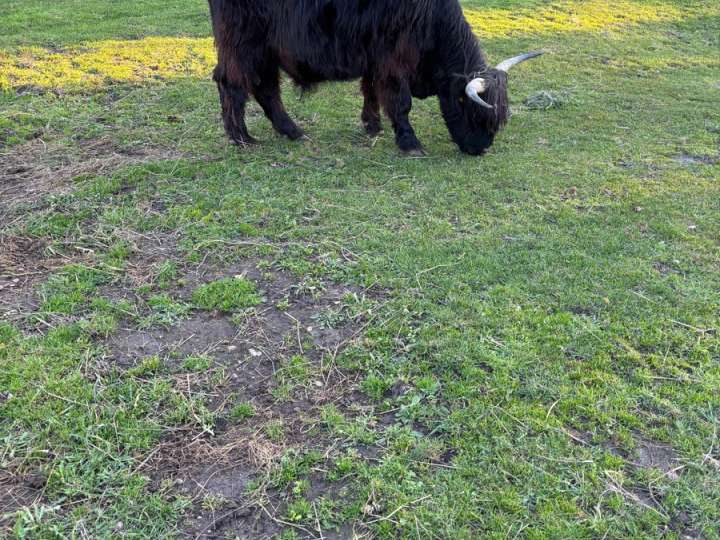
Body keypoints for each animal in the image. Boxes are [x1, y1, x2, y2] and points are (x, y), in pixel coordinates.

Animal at [207, 0, 542, 155]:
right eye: (471, 111)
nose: (481, 148)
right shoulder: (393, 61)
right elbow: (400, 103)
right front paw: (410, 143)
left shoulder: (374, 59)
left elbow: (370, 92)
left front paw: (373, 125)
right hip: (242, 44)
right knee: (232, 84)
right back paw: (241, 138)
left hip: (266, 52)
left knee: (266, 90)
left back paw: (293, 131)